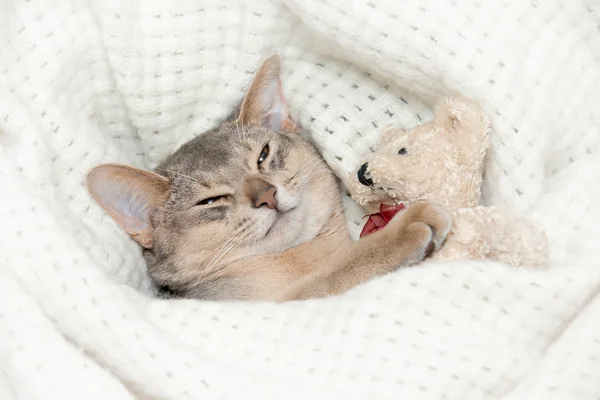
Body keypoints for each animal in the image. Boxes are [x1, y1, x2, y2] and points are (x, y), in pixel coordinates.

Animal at [84, 54, 450, 302]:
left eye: (262, 155)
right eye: (210, 200)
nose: (266, 196)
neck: (297, 259)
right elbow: (337, 272)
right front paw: (404, 227)